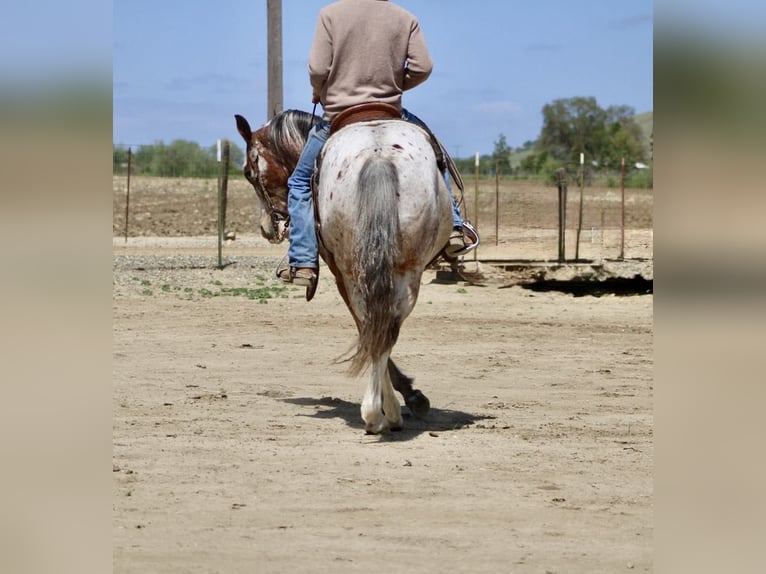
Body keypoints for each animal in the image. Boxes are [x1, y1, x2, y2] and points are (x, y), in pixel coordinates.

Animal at [235, 109, 453, 434]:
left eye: (248, 173)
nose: (266, 228)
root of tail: (378, 154)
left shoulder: (339, 275)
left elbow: (364, 327)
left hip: (356, 273)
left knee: (374, 325)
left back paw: (379, 413)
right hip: (405, 271)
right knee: (385, 327)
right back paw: (383, 410)